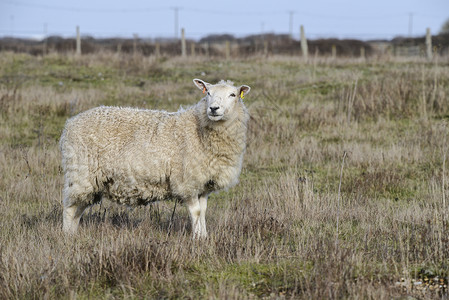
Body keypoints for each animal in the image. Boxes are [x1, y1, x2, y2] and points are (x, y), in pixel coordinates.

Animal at [58, 78, 252, 238]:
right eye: (208, 93)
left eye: (233, 94)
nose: (213, 109)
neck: (199, 130)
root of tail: (69, 124)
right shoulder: (186, 181)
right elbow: (196, 212)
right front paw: (197, 239)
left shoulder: (203, 183)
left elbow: (203, 211)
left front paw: (203, 237)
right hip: (81, 173)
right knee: (69, 207)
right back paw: (67, 236)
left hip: (92, 180)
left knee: (79, 207)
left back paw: (73, 233)